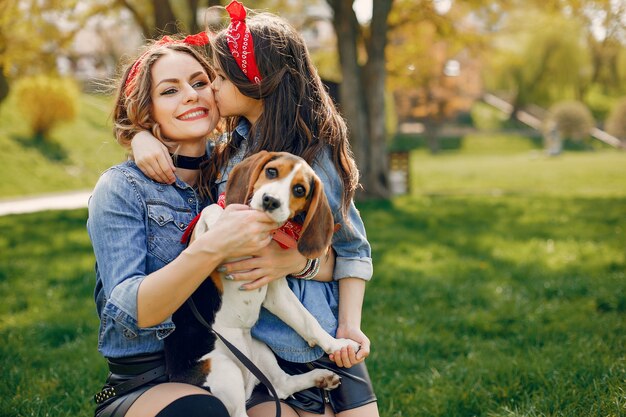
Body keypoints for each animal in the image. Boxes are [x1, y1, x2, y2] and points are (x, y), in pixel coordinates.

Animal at [166, 152, 358, 416]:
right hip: (223, 369)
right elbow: (213, 211)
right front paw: (226, 221)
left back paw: (321, 378)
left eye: (299, 189)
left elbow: (309, 321)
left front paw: (336, 346)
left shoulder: (276, 291)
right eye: (272, 171)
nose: (270, 200)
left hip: (259, 349)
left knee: (281, 386)